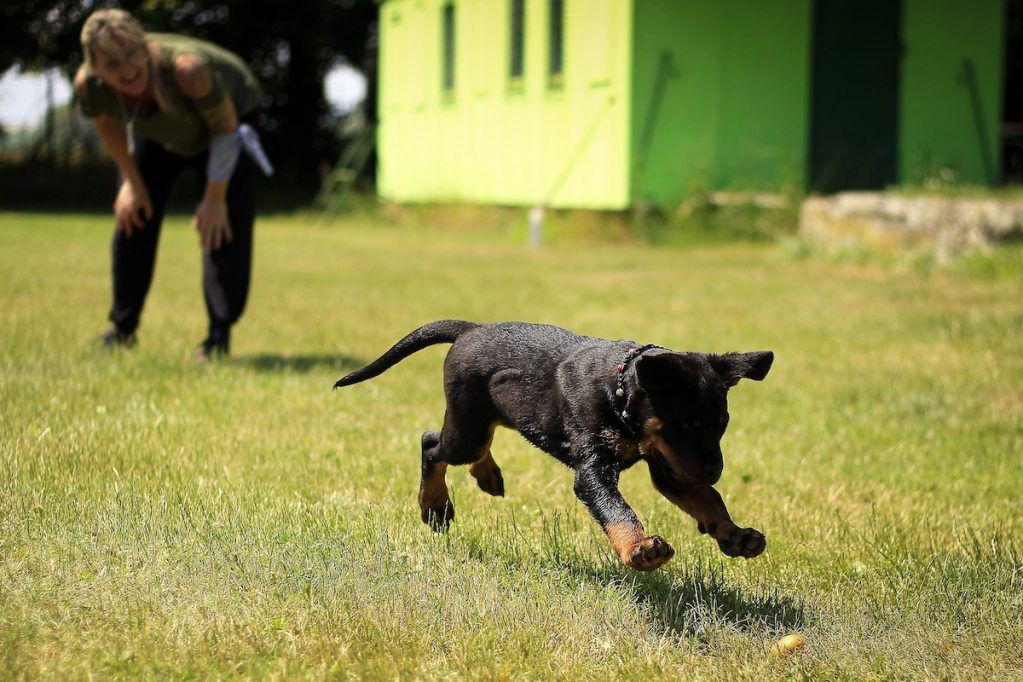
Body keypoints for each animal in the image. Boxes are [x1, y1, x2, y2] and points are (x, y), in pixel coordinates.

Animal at [331, 321, 769, 572]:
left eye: (721, 426)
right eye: (684, 426)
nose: (715, 470)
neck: (619, 388)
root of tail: (471, 328)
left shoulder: (670, 466)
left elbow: (708, 499)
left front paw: (735, 535)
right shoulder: (594, 469)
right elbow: (618, 509)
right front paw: (639, 549)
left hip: (486, 419)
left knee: (473, 444)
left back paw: (487, 475)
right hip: (466, 429)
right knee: (432, 444)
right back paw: (435, 506)